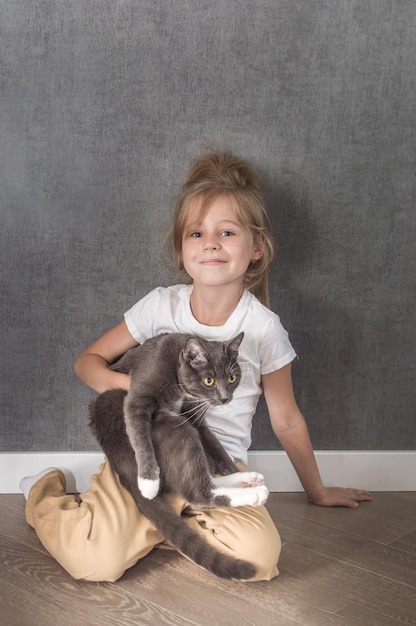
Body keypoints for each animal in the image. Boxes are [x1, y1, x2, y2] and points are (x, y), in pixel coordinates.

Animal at [89, 330, 268, 576]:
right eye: (209, 380)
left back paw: (247, 479)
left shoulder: (193, 412)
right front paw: (148, 482)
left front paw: (233, 469)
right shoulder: (138, 397)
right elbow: (139, 434)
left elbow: (214, 443)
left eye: (232, 378)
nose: (225, 398)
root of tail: (120, 463)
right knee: (197, 494)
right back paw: (254, 493)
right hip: (174, 427)